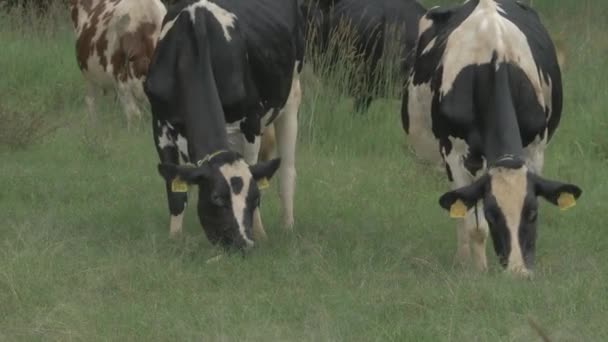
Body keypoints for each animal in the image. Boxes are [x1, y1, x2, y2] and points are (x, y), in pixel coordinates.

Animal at [143, 0, 304, 250]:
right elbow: (175, 190)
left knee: (287, 170)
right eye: (216, 198)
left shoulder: (251, 122)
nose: (243, 244)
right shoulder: (160, 124)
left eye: (254, 198)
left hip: (291, 95)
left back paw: (287, 226)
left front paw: (260, 234)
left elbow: (254, 169)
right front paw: (175, 239)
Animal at [402, 0, 580, 276]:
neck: (493, 63)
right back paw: (462, 258)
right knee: (457, 207)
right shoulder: (455, 153)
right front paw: (477, 271)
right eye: (492, 214)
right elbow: (473, 224)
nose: (518, 271)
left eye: (532, 213)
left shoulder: (535, 150)